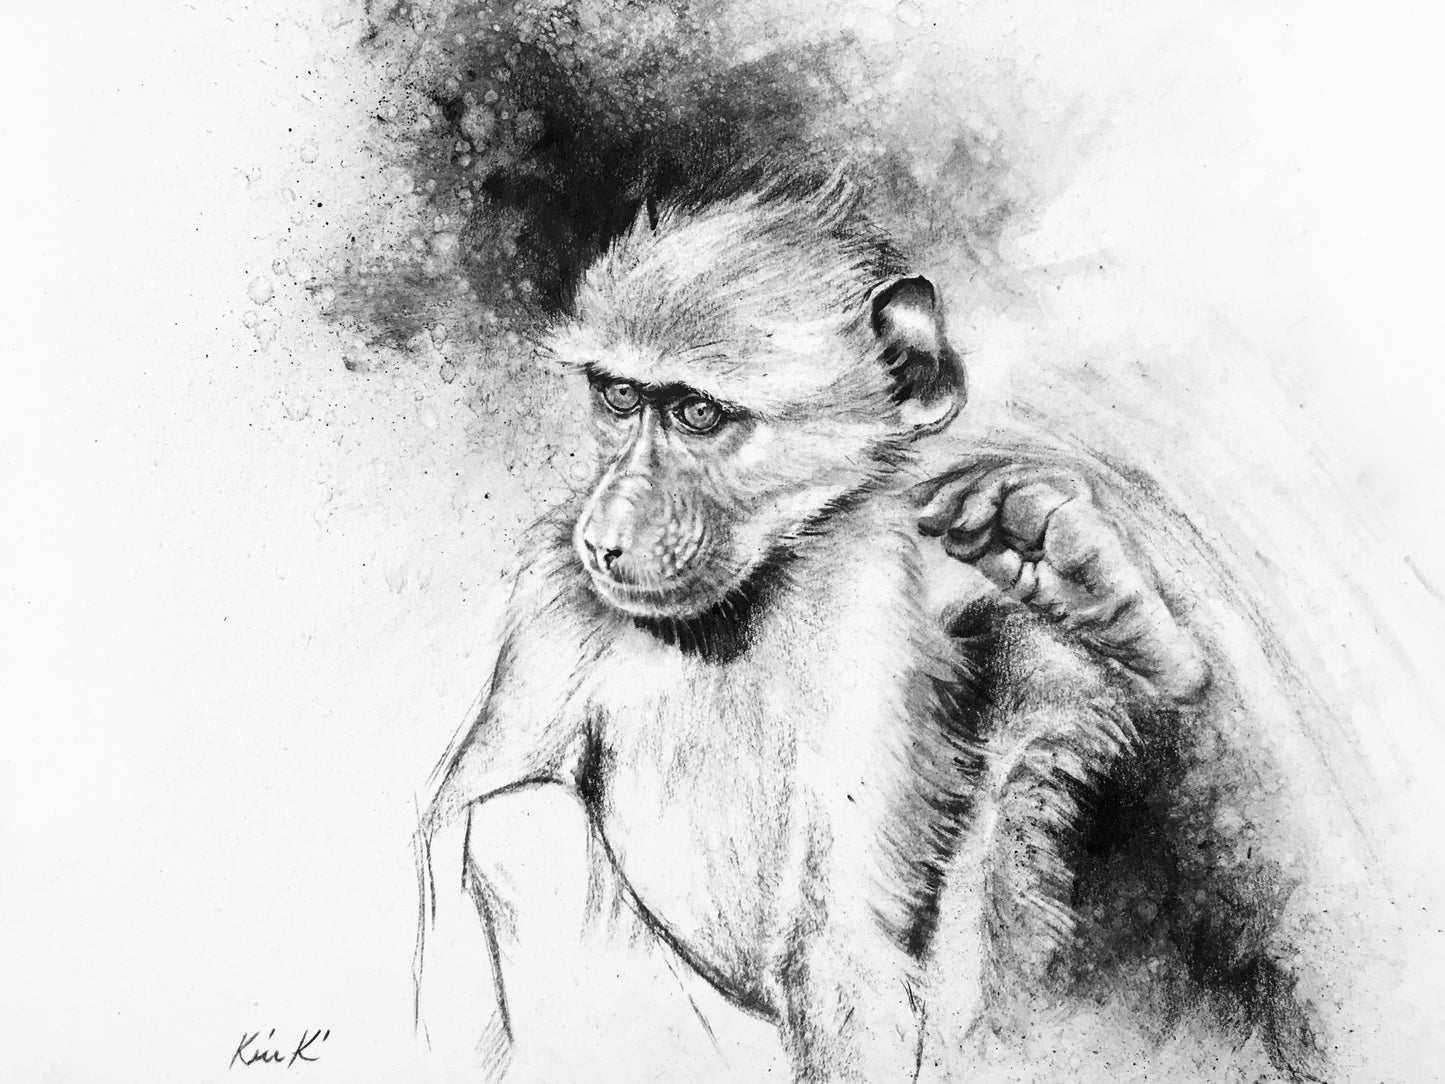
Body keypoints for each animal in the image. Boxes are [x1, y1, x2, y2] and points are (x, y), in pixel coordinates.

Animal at [414, 169, 1221, 1082]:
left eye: (697, 414)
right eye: (620, 397)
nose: (604, 537)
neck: (738, 605)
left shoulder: (867, 617)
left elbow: (849, 945)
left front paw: (1085, 589)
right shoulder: (554, 607)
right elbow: (455, 835)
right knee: (517, 824)